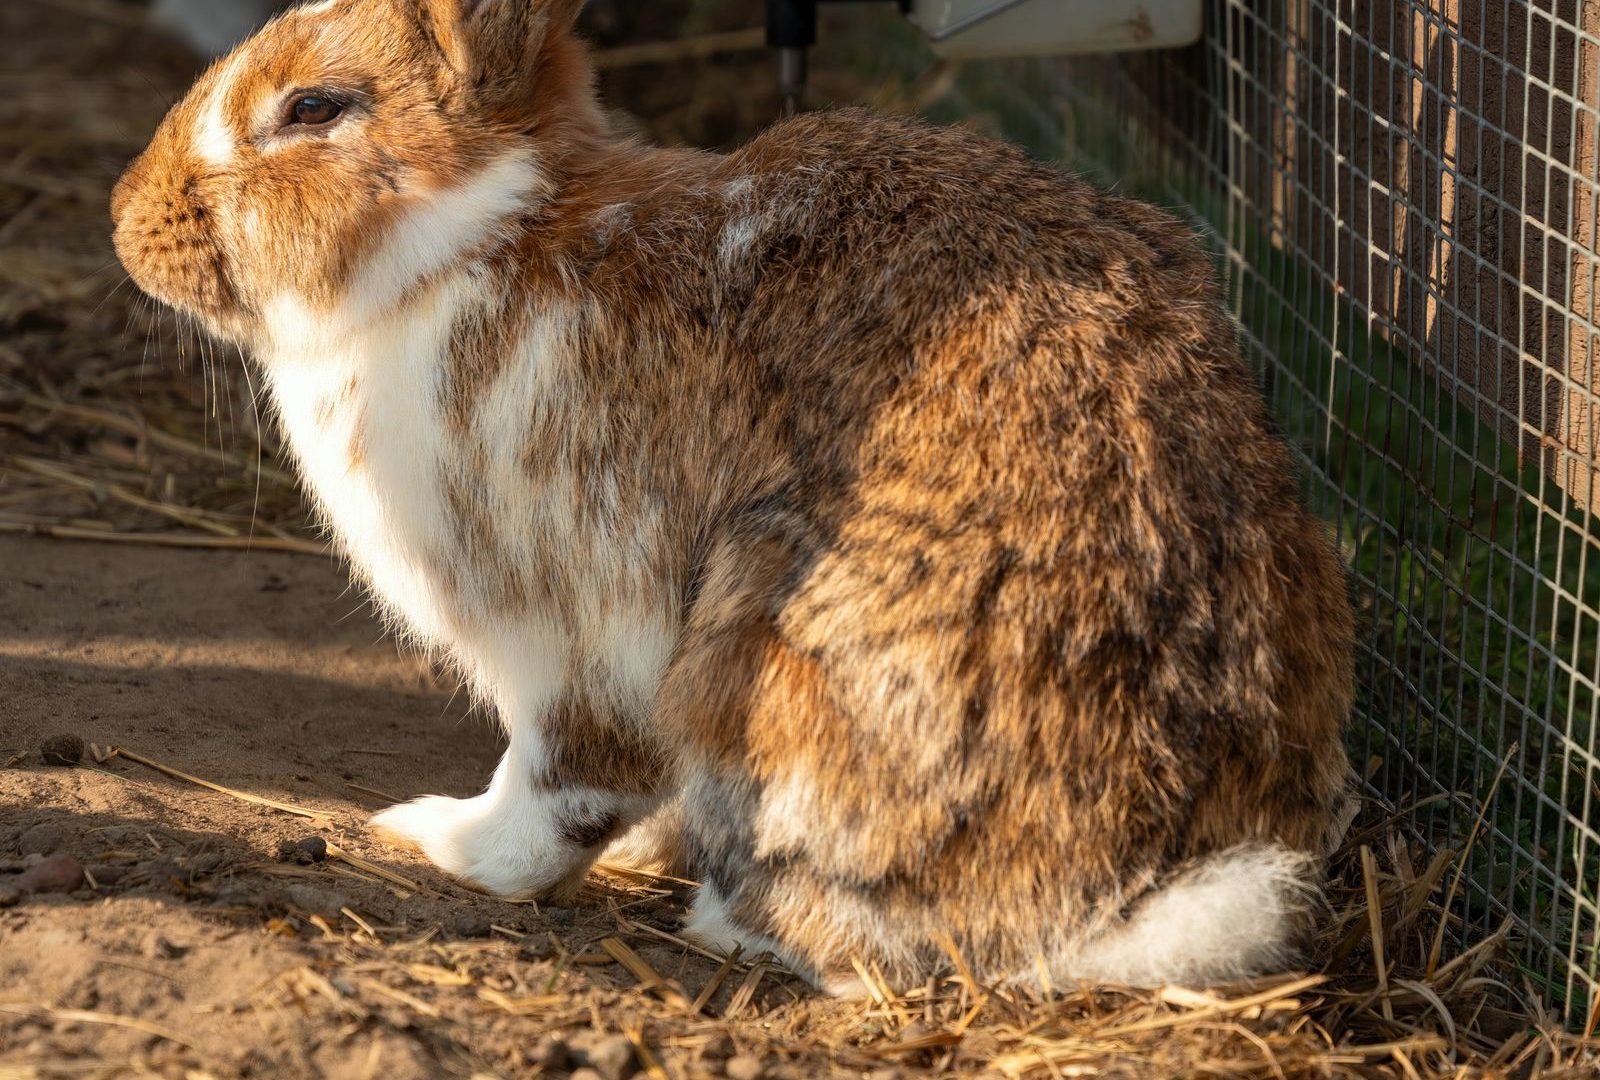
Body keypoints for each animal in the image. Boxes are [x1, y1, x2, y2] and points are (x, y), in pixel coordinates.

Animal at [110, 0, 1356, 993]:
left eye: (314, 107)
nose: (126, 221)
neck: (473, 242)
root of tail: (1122, 904)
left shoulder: (569, 615)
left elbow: (557, 783)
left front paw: (443, 843)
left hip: (757, 656)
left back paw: (729, 924)